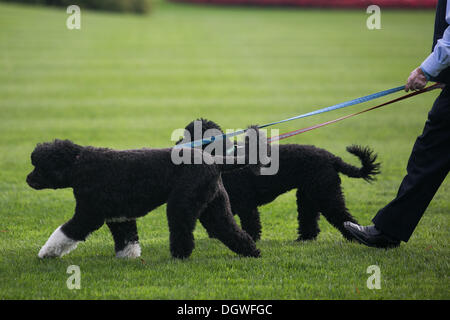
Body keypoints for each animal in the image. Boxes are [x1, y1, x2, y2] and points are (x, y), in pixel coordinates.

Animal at [27, 131, 264, 258]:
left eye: (39, 165)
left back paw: (179, 256)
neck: (78, 164)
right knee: (230, 230)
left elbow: (65, 233)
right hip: (214, 206)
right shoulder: (119, 216)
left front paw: (46, 253)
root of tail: (215, 160)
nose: (28, 179)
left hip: (182, 204)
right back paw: (252, 252)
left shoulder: (88, 214)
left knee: (183, 231)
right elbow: (126, 238)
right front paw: (129, 257)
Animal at [179, 119, 380, 241]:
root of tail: (332, 158)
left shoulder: (246, 203)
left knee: (342, 215)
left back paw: (354, 237)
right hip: (308, 195)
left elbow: (251, 223)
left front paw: (252, 239)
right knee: (309, 219)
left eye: (191, 135)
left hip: (326, 192)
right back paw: (304, 238)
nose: (178, 145)